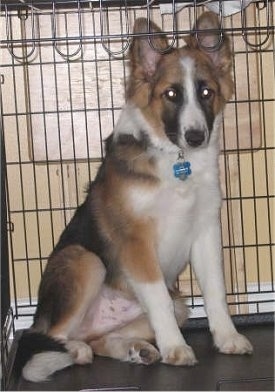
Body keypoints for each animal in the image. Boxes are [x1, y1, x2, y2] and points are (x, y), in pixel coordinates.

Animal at [14, 11, 252, 382]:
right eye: (171, 94)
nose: (196, 137)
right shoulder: (136, 241)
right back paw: (75, 351)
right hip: (86, 261)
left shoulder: (205, 231)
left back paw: (134, 349)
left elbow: (215, 291)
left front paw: (227, 337)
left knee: (96, 338)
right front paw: (175, 348)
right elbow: (158, 300)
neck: (175, 160)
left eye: (206, 92)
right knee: (50, 336)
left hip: (178, 306)